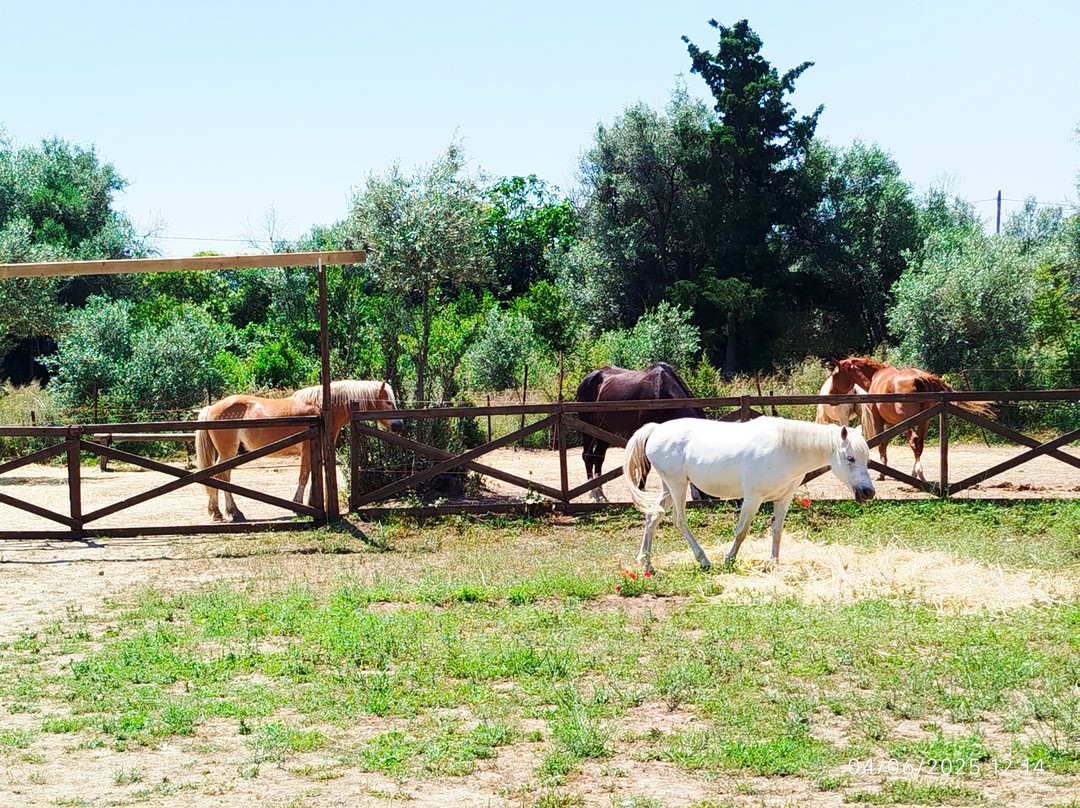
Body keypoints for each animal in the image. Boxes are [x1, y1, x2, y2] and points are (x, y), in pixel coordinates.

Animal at [195, 380, 403, 522]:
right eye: (387, 403)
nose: (399, 424)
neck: (321, 410)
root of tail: (211, 408)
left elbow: (314, 475)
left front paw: (312, 503)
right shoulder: (306, 450)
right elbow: (304, 476)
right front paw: (298, 505)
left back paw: (218, 511)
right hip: (228, 452)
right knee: (222, 477)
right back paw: (234, 512)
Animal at [575, 362, 705, 501]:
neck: (662, 393)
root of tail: (587, 378)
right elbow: (646, 465)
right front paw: (640, 491)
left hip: (604, 429)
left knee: (598, 457)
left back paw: (600, 493)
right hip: (588, 424)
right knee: (587, 456)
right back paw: (593, 494)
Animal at [624, 417, 874, 571]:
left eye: (866, 458)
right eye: (850, 458)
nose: (868, 492)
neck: (787, 449)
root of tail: (656, 428)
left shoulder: (783, 499)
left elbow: (777, 531)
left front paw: (774, 563)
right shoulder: (753, 498)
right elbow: (742, 531)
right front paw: (729, 560)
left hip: (668, 486)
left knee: (653, 517)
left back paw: (646, 564)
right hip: (677, 485)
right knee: (679, 519)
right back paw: (703, 560)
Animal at [828, 357, 993, 481]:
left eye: (835, 375)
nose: (830, 395)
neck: (876, 376)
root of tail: (921, 378)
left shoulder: (879, 420)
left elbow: (881, 444)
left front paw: (881, 474)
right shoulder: (892, 423)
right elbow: (885, 443)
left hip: (908, 421)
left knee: (914, 441)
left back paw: (918, 473)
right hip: (923, 420)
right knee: (919, 443)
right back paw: (915, 473)